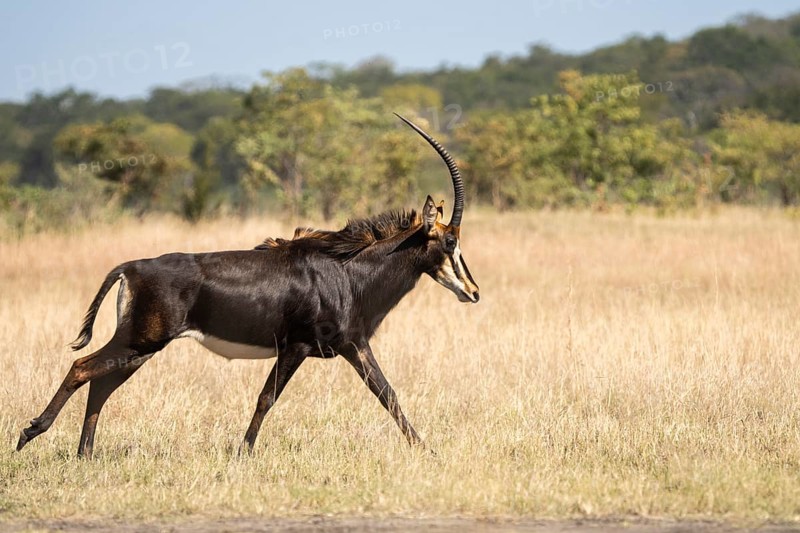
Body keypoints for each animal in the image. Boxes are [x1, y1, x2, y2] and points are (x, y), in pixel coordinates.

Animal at [16, 114, 480, 458]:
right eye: (450, 241)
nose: (473, 292)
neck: (348, 272)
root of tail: (130, 267)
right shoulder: (296, 346)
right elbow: (266, 398)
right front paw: (243, 452)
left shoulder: (354, 347)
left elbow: (389, 395)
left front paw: (427, 452)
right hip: (140, 341)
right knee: (82, 368)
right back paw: (30, 433)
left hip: (140, 348)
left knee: (100, 382)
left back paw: (85, 454)